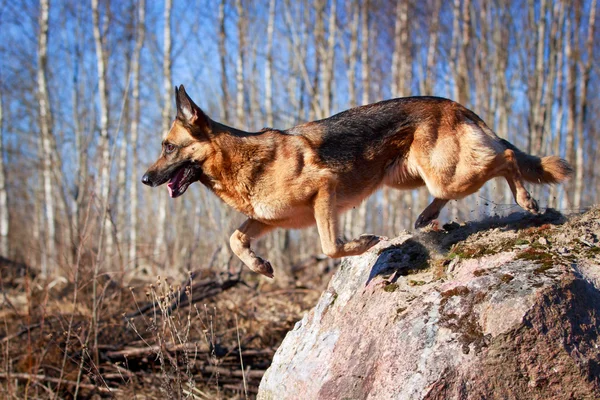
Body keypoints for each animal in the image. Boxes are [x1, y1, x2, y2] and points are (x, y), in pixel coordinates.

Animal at [143, 84, 576, 278]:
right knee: (484, 168)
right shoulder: (268, 221)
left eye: (168, 146)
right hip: (413, 178)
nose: (145, 179)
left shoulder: (325, 192)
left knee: (506, 157)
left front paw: (365, 243)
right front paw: (259, 265)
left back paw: (527, 201)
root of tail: (456, 104)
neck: (241, 160)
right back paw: (425, 218)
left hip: (448, 175)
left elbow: (331, 246)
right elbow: (235, 238)